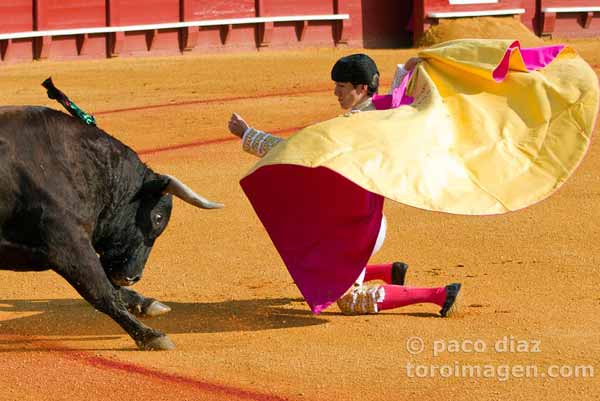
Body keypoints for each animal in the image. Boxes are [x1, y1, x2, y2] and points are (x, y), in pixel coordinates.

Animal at [0, 106, 223, 350]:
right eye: (157, 217)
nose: (131, 277)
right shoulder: (67, 245)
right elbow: (103, 292)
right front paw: (150, 335)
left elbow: (109, 287)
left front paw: (146, 303)